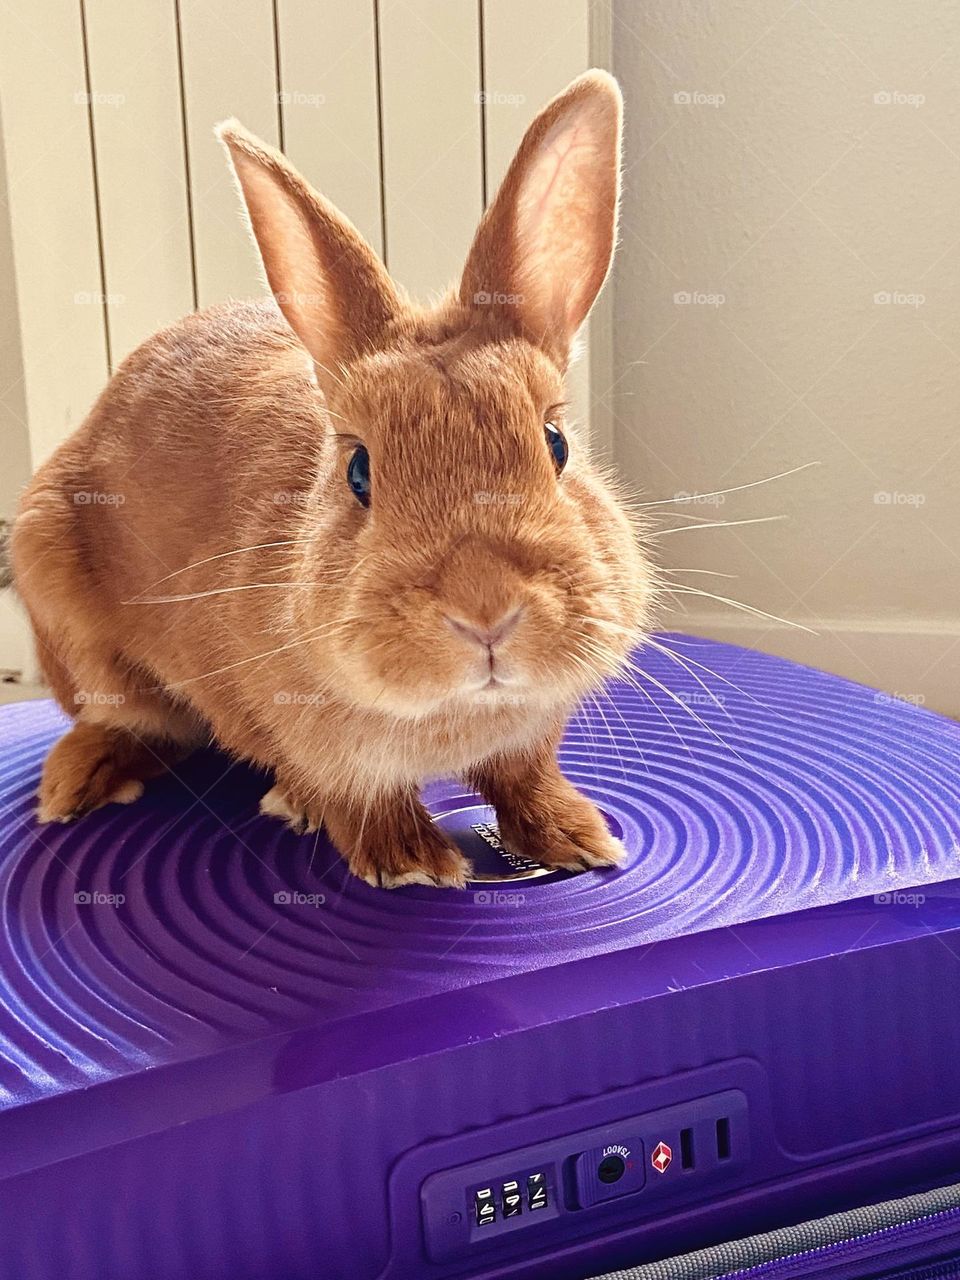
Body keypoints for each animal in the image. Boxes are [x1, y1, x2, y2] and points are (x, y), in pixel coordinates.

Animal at [10, 69, 656, 888]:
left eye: (557, 443)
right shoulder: (289, 725)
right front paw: (408, 862)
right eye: (358, 470)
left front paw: (577, 838)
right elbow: (351, 795)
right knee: (128, 723)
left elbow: (524, 777)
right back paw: (79, 784)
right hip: (69, 618)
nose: (485, 608)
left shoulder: (529, 739)